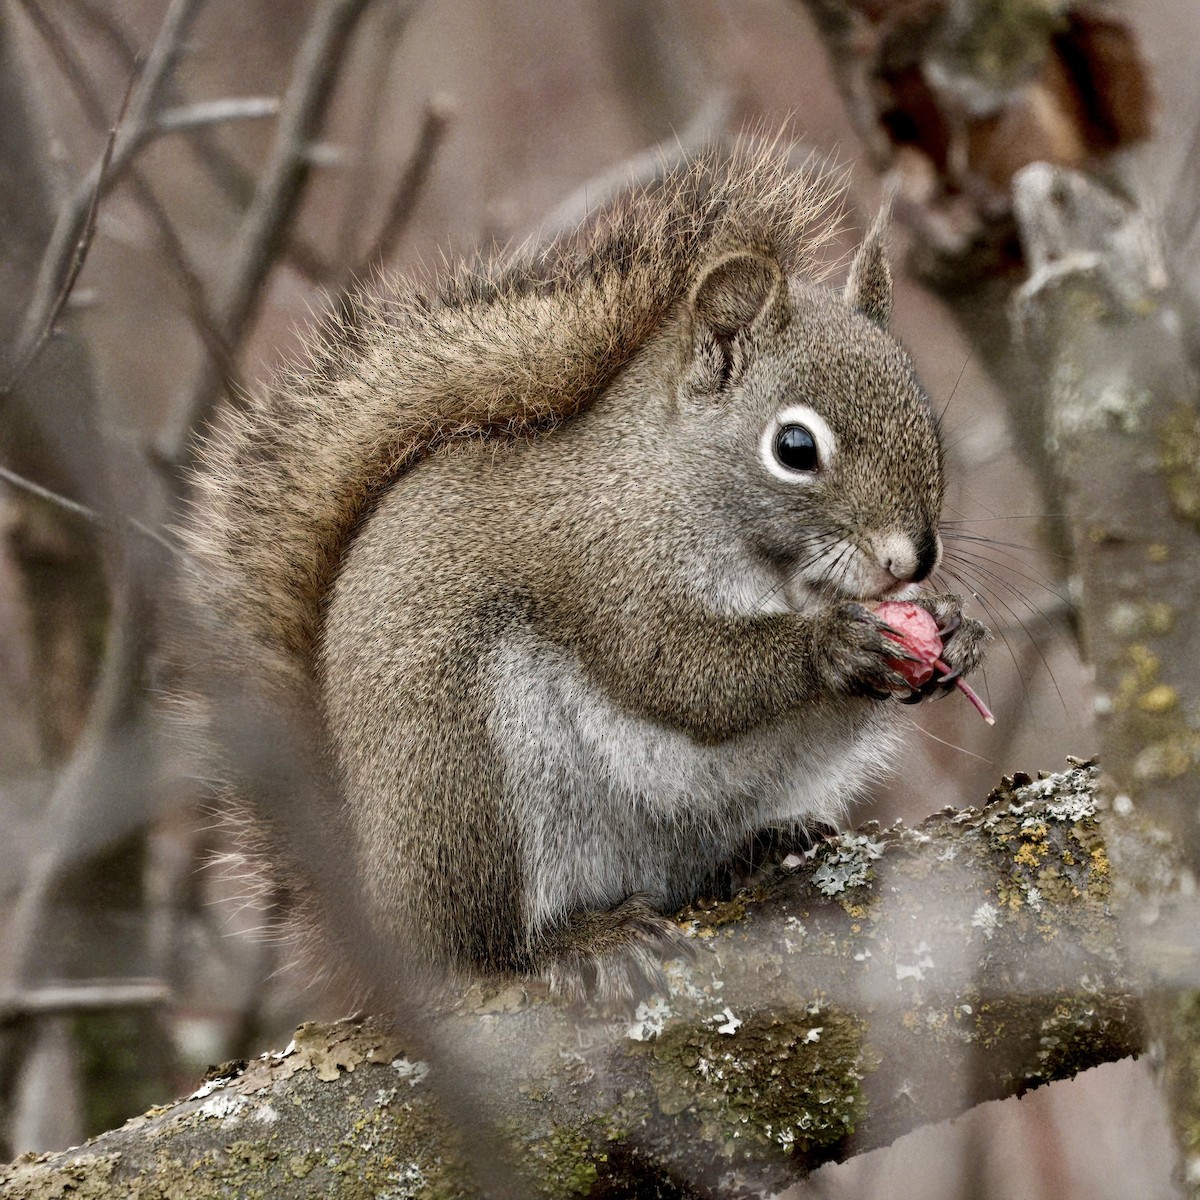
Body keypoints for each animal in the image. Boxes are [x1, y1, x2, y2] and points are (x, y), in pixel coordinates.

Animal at [181, 139, 989, 1000]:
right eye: (795, 448)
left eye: (925, 419)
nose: (914, 556)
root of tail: (381, 911)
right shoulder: (603, 569)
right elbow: (682, 673)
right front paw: (831, 646)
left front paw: (957, 631)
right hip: (467, 784)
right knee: (490, 948)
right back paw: (581, 943)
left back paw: (761, 849)